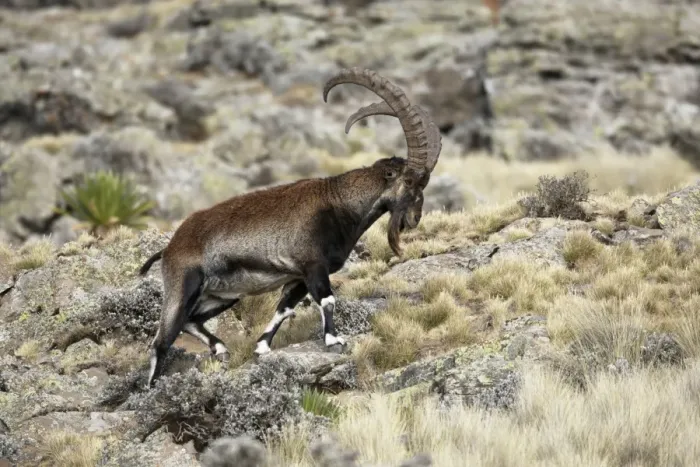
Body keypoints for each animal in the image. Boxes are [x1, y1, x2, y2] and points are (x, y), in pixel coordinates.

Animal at [138, 67, 442, 388]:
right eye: (408, 180)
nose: (414, 218)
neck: (339, 203)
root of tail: (169, 249)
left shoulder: (297, 277)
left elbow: (284, 308)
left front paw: (262, 347)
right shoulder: (313, 266)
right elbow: (327, 299)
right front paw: (334, 340)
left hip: (222, 295)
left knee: (191, 321)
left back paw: (220, 348)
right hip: (183, 287)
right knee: (162, 340)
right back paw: (151, 388)